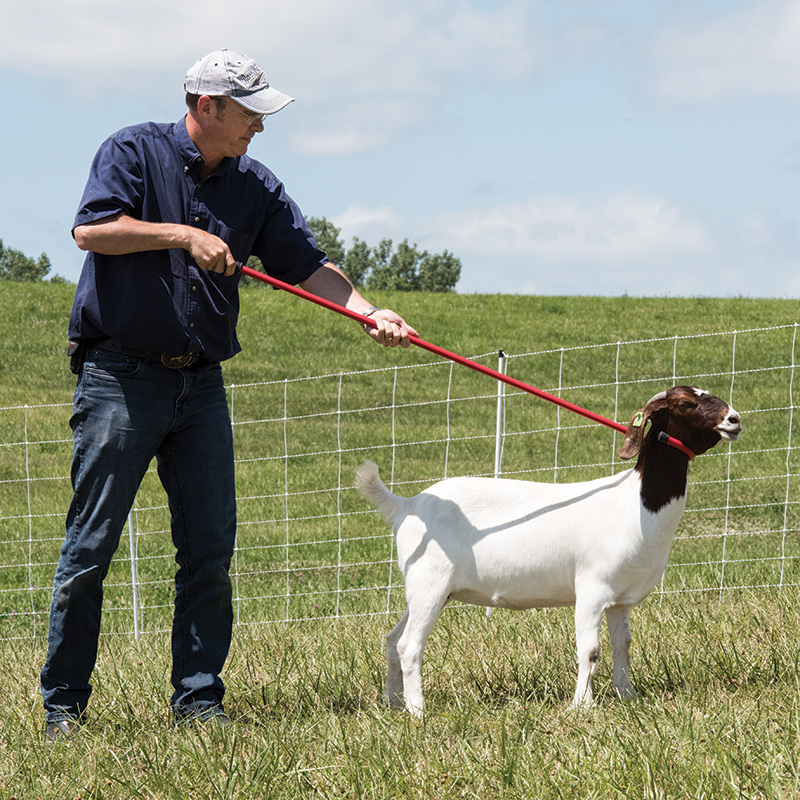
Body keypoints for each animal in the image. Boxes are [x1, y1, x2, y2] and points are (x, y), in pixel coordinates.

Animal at [356, 384, 744, 716]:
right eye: (686, 404)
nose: (734, 419)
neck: (635, 503)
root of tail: (405, 505)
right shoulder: (591, 589)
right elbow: (591, 651)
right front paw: (581, 706)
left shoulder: (620, 600)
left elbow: (623, 647)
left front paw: (627, 696)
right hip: (430, 583)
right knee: (409, 645)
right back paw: (418, 711)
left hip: (426, 588)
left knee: (392, 638)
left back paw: (394, 703)